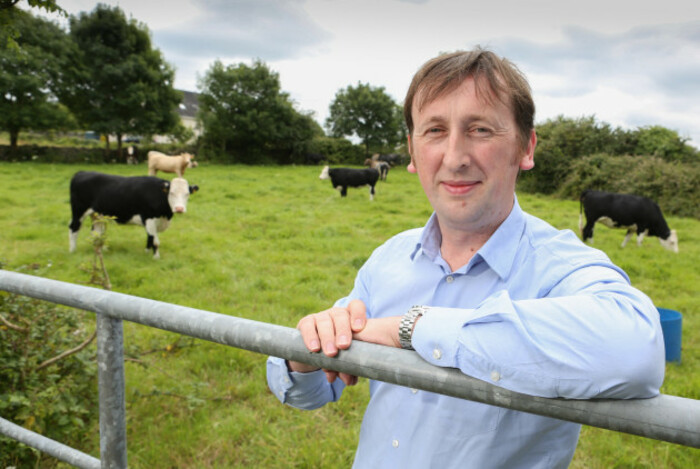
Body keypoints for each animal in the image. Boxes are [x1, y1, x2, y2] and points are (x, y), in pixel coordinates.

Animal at [68, 171, 198, 260]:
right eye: (171, 193)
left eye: (187, 194)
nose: (179, 209)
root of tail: (81, 172)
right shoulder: (149, 218)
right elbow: (155, 241)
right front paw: (156, 258)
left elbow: (150, 237)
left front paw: (146, 253)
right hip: (79, 211)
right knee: (74, 227)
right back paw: (72, 250)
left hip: (98, 215)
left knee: (97, 232)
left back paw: (101, 249)